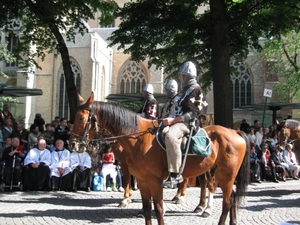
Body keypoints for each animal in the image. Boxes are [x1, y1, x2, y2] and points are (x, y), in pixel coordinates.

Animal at [69, 92, 248, 224]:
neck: (138, 138)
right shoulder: (142, 181)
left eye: (81, 118)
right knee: (230, 196)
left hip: (225, 174)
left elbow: (159, 209)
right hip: (222, 174)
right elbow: (148, 209)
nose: (72, 144)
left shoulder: (154, 181)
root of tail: (234, 131)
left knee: (224, 199)